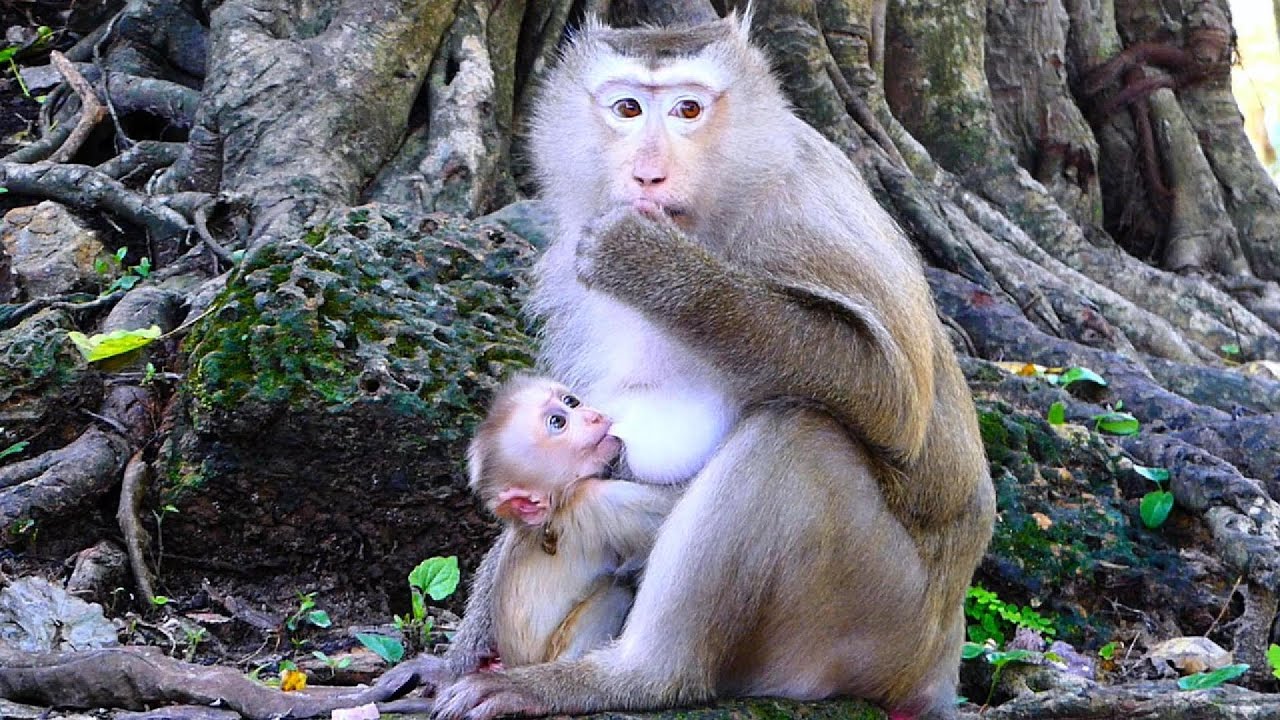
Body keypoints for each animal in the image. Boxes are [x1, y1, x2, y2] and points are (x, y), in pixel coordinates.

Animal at [466, 375, 681, 668]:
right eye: (558, 422)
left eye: (571, 401)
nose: (593, 416)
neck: (555, 508)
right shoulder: (592, 501)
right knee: (614, 594)